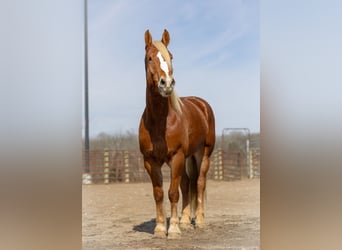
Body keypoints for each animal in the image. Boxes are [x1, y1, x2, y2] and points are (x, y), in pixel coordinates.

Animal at [138, 29, 214, 238]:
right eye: (149, 58)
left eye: (170, 57)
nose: (167, 83)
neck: (159, 122)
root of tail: (201, 104)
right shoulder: (150, 161)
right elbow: (159, 193)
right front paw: (160, 228)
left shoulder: (177, 156)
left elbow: (173, 192)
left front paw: (172, 229)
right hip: (188, 157)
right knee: (187, 183)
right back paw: (186, 221)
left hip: (203, 154)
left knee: (200, 183)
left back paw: (199, 221)